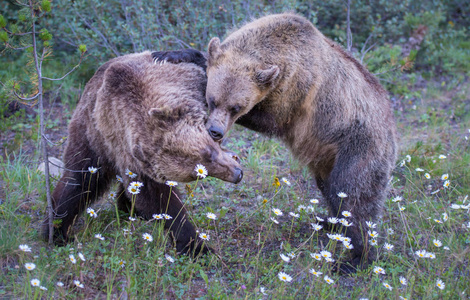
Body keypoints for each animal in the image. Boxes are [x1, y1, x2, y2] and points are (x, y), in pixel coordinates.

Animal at [42, 50, 244, 254]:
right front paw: (196, 245)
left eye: (210, 153)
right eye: (200, 173)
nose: (238, 174)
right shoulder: (128, 151)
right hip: (89, 136)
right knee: (78, 182)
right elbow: (158, 200)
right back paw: (57, 230)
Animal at [153, 12, 396, 272]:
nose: (215, 131)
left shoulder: (295, 93)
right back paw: (331, 222)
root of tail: (390, 121)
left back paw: (357, 258)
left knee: (353, 194)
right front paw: (171, 54)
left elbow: (270, 119)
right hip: (328, 154)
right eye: (213, 100)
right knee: (329, 188)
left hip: (358, 144)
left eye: (236, 107)